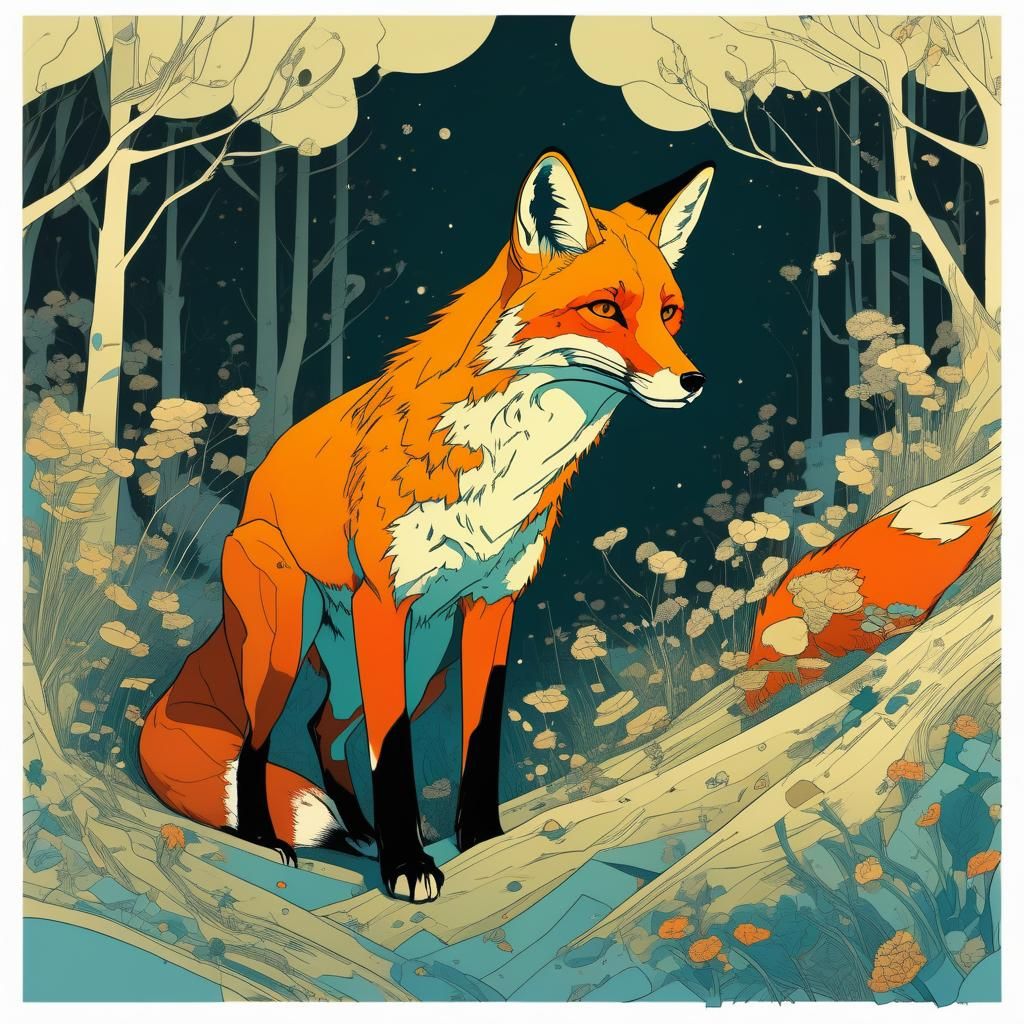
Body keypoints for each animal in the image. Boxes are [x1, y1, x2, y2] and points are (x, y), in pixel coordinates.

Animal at [139, 149, 716, 903]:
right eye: (604, 309)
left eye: (670, 313)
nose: (694, 380)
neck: (506, 466)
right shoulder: (385, 601)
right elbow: (393, 755)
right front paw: (408, 867)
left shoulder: (494, 605)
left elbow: (478, 737)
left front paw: (480, 840)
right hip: (290, 638)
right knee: (258, 746)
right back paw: (269, 839)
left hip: (419, 657)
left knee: (324, 730)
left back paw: (361, 833)